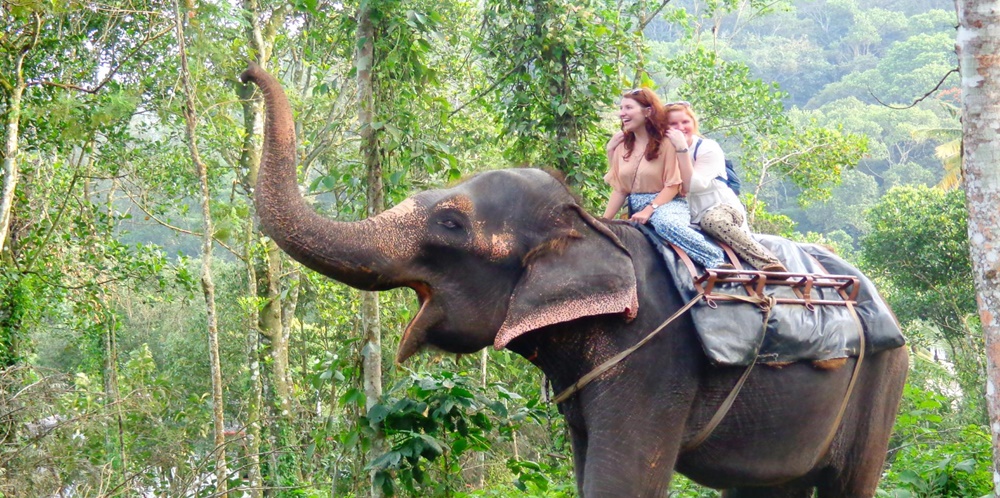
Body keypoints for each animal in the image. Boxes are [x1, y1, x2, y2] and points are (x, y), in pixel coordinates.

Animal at [240, 63, 908, 498]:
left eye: (451, 224)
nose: (247, 73)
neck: (590, 227)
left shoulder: (653, 360)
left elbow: (623, 478)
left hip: (884, 379)